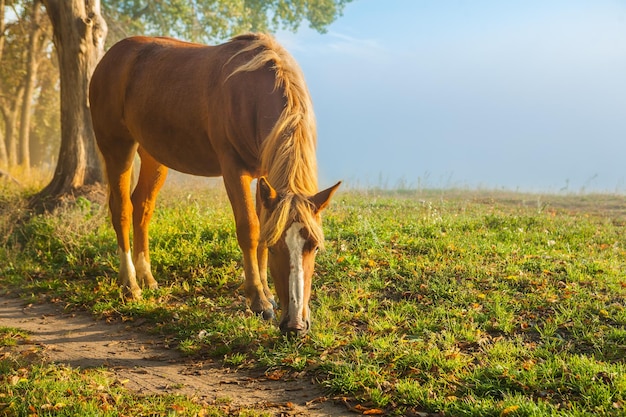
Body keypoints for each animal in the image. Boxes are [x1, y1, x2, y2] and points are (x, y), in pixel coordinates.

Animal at [88, 33, 338, 334]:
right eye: (279, 246)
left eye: (314, 246)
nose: (295, 326)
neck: (252, 93)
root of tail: (110, 57)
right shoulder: (233, 169)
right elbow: (250, 229)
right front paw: (258, 299)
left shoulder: (265, 177)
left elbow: (261, 229)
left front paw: (266, 292)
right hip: (117, 145)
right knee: (122, 209)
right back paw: (131, 284)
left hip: (153, 155)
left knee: (142, 207)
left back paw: (147, 277)